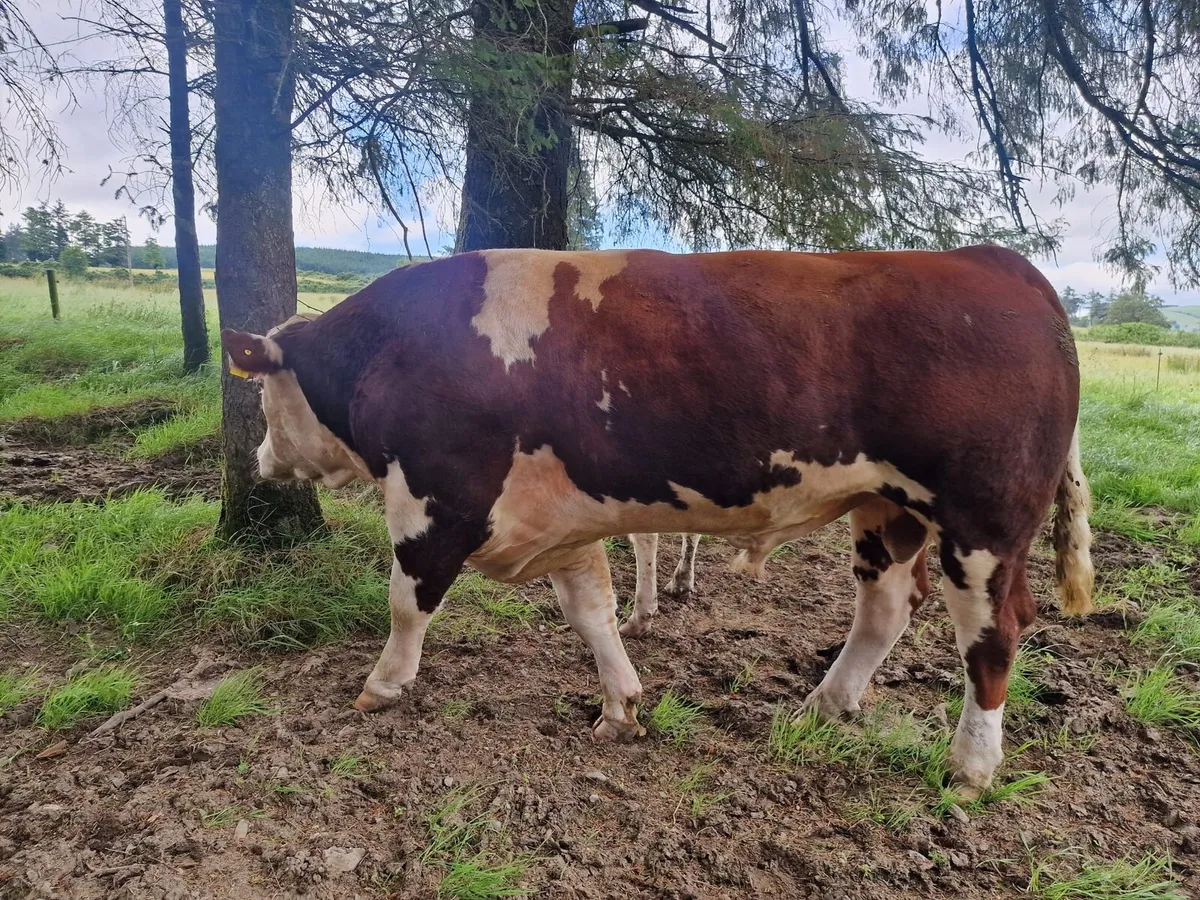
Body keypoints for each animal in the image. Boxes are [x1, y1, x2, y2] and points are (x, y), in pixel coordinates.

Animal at [221, 245, 1093, 797]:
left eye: (262, 392)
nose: (260, 458)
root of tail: (993, 259)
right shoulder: (561, 521)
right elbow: (592, 612)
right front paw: (620, 706)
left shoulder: (435, 495)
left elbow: (409, 600)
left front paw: (384, 684)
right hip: (888, 508)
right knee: (884, 610)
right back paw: (825, 703)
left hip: (985, 521)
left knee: (994, 633)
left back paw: (970, 767)